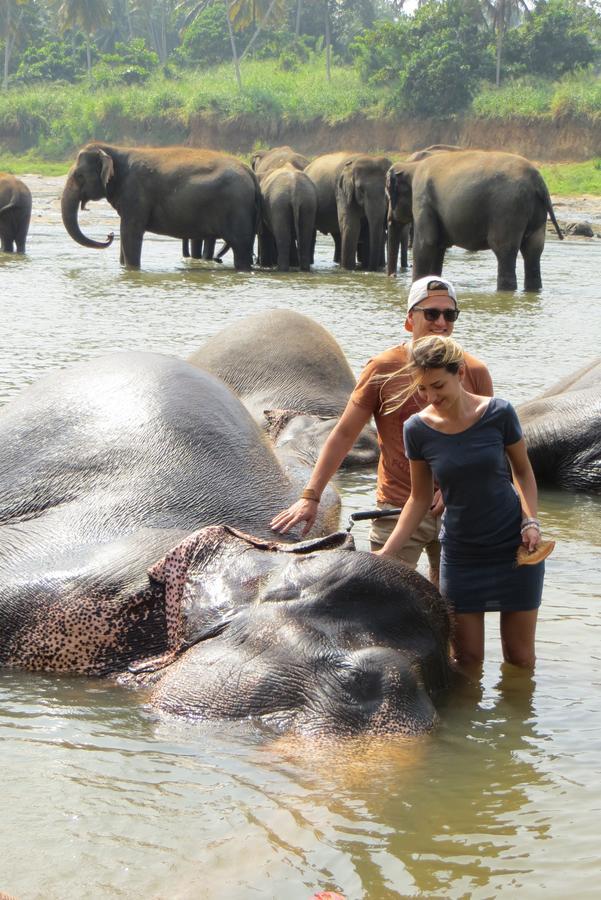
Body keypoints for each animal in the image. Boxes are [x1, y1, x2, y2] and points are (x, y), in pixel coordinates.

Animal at [61, 142, 260, 270]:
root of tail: (250, 173)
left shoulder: (135, 193)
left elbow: (129, 231)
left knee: (241, 249)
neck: (114, 150)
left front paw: (133, 270)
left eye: (79, 176)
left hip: (237, 209)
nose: (109, 235)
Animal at [386, 148, 564, 288]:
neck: (411, 166)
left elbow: (426, 243)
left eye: (387, 194)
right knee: (533, 251)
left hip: (508, 209)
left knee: (504, 250)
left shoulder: (422, 196)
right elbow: (438, 246)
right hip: (536, 213)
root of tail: (538, 181)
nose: (392, 277)